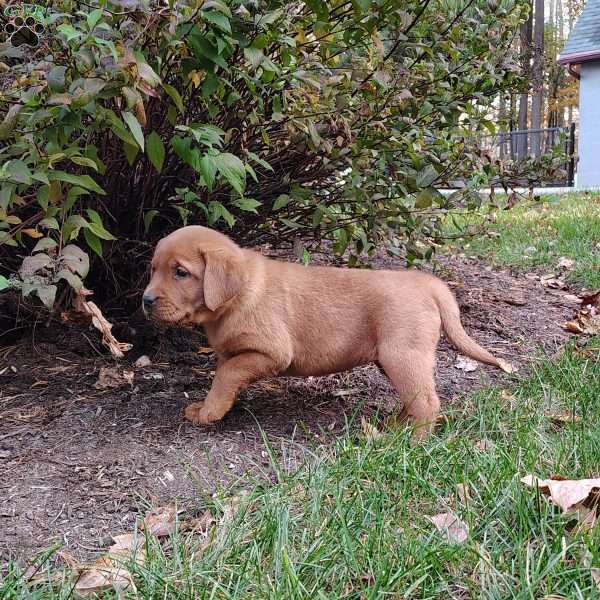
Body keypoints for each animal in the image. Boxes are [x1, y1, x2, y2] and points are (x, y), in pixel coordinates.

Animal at [144, 225, 510, 436]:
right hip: (394, 360)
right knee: (415, 397)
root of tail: (428, 283)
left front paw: (208, 413)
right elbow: (224, 376)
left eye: (180, 272)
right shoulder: (235, 352)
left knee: (428, 403)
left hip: (402, 355)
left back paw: (411, 440)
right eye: (153, 269)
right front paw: (215, 407)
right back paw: (395, 426)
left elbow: (226, 375)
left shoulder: (271, 352)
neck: (236, 295)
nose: (145, 300)